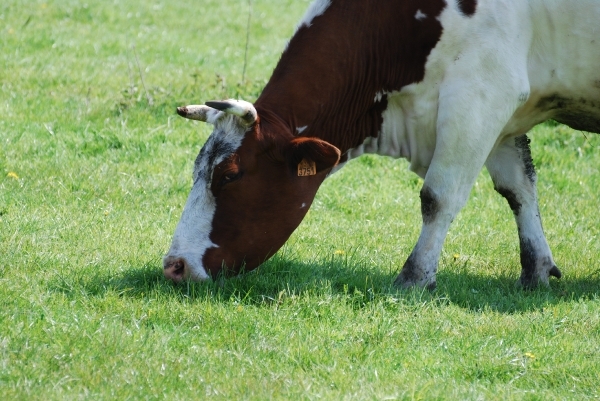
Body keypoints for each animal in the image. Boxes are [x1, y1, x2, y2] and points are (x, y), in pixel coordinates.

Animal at [162, 0, 596, 288]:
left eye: (229, 176)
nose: (174, 265)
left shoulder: (480, 94)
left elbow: (438, 196)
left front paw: (415, 278)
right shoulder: (503, 115)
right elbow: (519, 190)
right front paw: (536, 271)